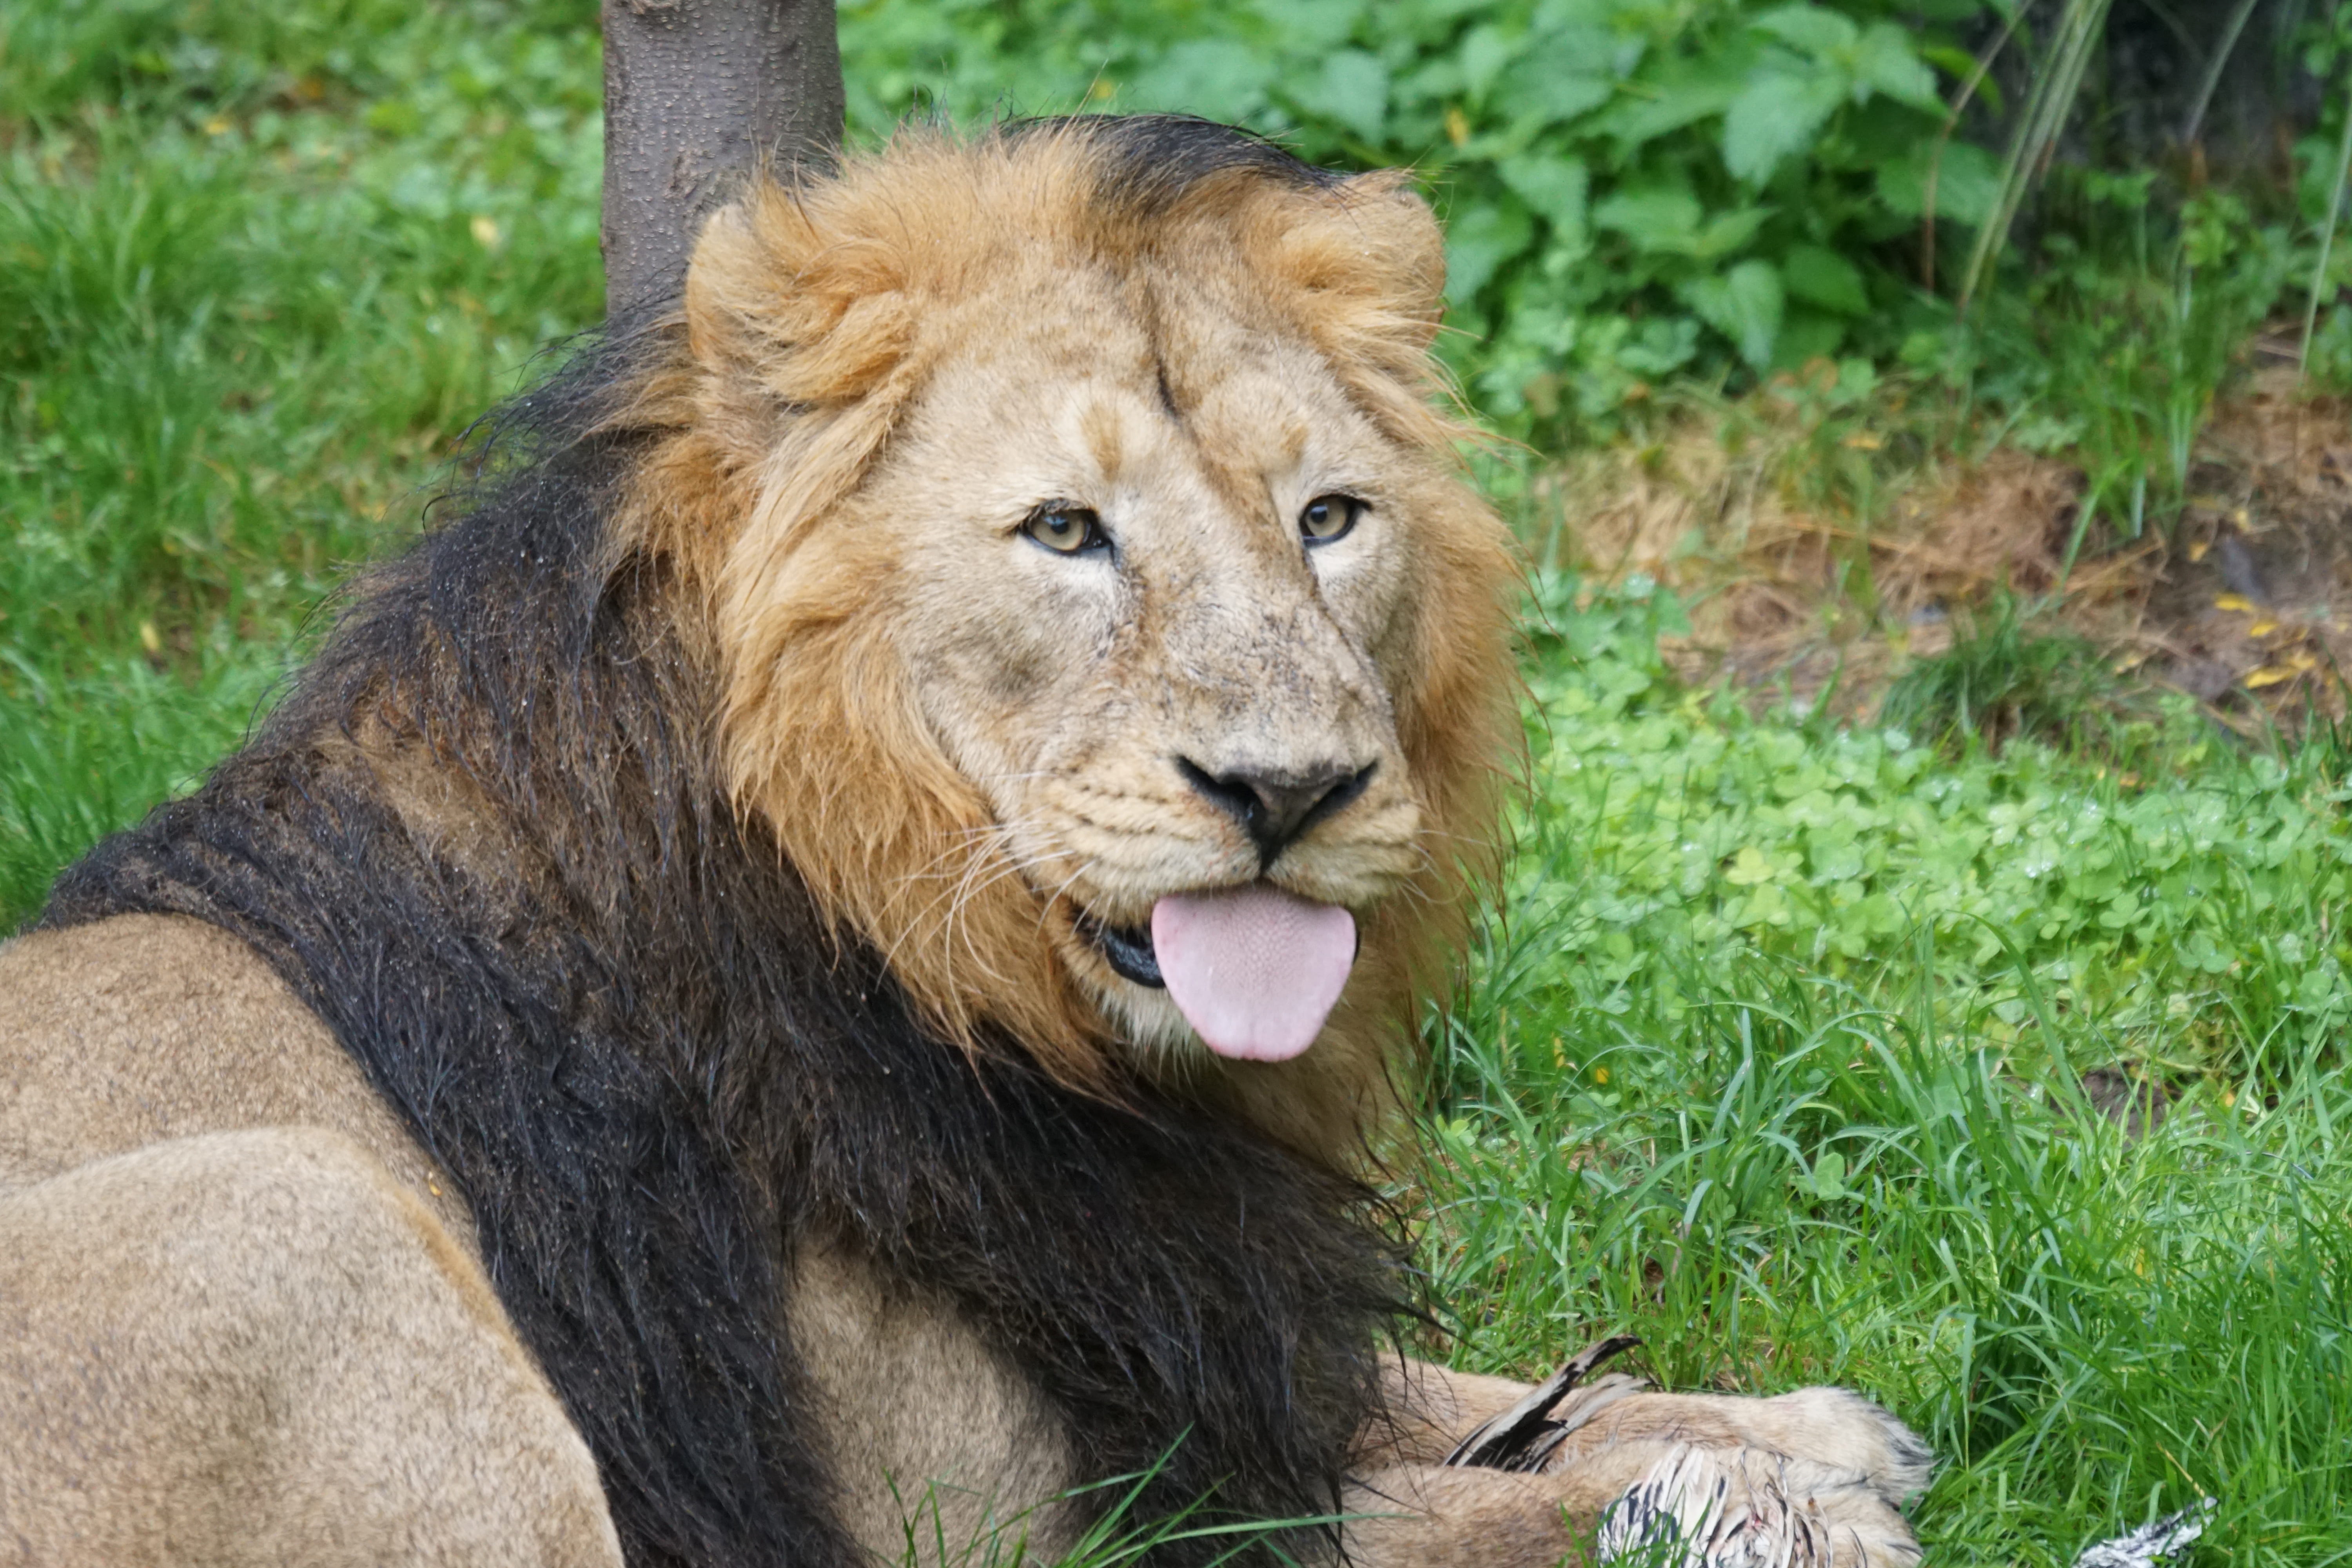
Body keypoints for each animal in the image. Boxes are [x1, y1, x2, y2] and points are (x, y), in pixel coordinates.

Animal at [0, 117, 1930, 1567]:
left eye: (1328, 518)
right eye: (1064, 532)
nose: (1290, 789)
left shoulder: (1180, 1329)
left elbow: (1441, 1390)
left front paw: (1782, 1426)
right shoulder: (979, 1521)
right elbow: (1440, 1519)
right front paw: (1751, 1504)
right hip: (291, 1212)